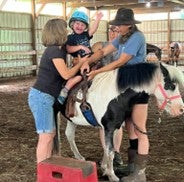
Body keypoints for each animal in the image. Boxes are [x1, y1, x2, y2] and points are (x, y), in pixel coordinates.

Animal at [54, 62, 184, 181]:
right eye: (171, 86)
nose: (181, 109)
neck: (115, 96)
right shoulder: (108, 128)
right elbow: (110, 151)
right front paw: (112, 176)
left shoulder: (115, 126)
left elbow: (107, 149)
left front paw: (105, 169)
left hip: (72, 119)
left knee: (69, 135)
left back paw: (79, 157)